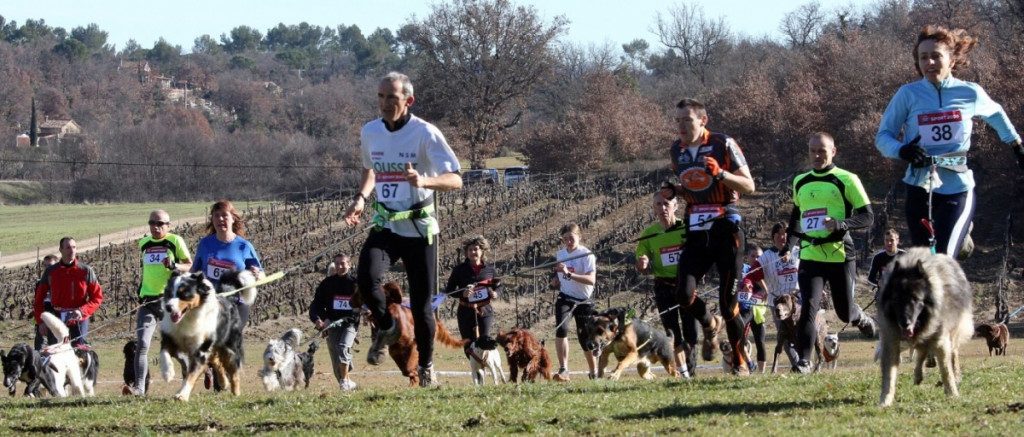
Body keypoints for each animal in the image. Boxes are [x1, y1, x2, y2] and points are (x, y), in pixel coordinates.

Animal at [159, 272, 258, 401]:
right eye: (169, 293)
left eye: (184, 294)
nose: (168, 307)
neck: (187, 318)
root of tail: (228, 298)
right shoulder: (169, 338)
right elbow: (164, 354)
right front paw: (167, 373)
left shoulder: (200, 350)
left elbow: (191, 374)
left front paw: (182, 395)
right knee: (217, 362)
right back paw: (223, 382)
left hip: (230, 348)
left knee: (233, 372)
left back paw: (236, 392)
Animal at [876, 247, 970, 409]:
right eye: (897, 299)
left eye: (915, 299)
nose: (905, 323)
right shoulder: (891, 340)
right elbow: (889, 375)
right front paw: (885, 400)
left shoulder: (940, 340)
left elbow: (946, 370)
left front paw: (952, 394)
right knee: (921, 353)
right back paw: (918, 375)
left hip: (953, 332)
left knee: (953, 353)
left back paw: (956, 375)